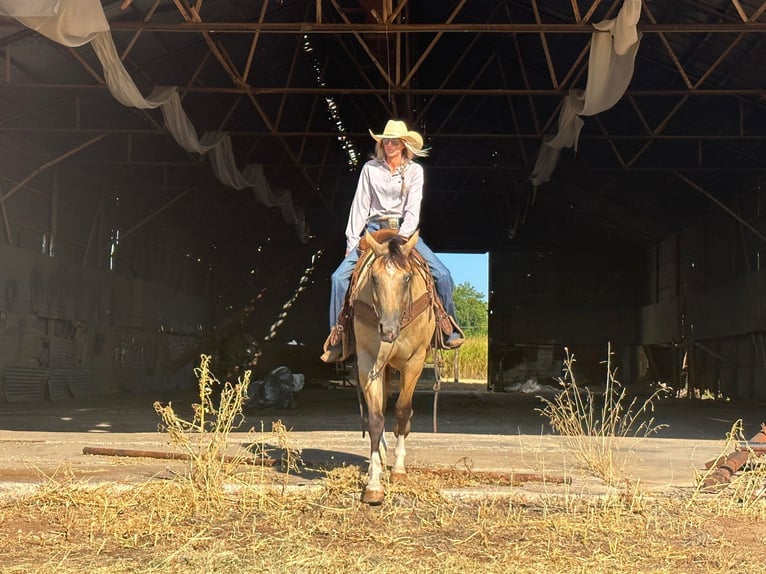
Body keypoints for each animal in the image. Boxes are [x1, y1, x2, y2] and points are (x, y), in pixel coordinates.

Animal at [352, 227, 436, 506]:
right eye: (374, 278)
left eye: (407, 277)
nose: (387, 330)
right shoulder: (367, 360)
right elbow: (376, 417)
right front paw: (373, 483)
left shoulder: (415, 361)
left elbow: (402, 409)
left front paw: (398, 468)